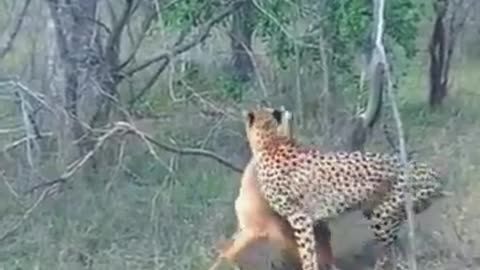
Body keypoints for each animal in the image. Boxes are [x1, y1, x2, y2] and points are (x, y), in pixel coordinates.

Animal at [244, 106, 446, 268]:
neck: (271, 141)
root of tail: (432, 171)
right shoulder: (312, 220)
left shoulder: (300, 218)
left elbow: (307, 253)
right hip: (386, 212)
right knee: (397, 247)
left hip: (383, 215)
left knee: (389, 251)